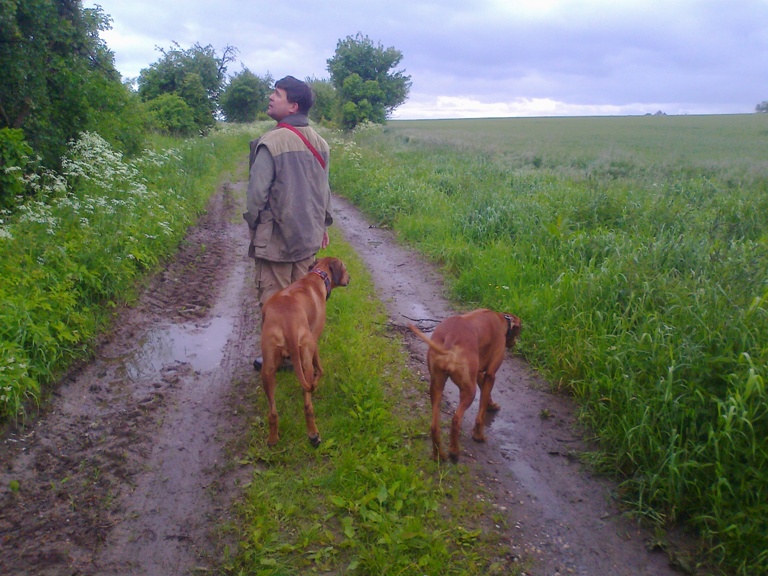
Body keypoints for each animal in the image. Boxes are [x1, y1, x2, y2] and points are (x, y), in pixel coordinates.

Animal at [259, 256, 350, 447]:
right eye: (345, 267)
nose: (350, 278)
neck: (317, 277)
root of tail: (287, 321)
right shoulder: (314, 340)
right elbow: (320, 368)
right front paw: (318, 378)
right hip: (306, 358)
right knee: (308, 405)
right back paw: (313, 434)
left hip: (267, 369)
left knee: (273, 411)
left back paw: (273, 439)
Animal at [409, 309, 521, 462]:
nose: (513, 343)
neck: (501, 319)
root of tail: (451, 337)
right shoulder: (490, 375)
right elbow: (481, 411)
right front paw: (478, 435)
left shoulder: (479, 373)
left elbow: (486, 395)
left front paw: (492, 405)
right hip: (469, 390)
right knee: (456, 419)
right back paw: (454, 452)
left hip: (436, 385)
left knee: (434, 426)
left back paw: (439, 455)